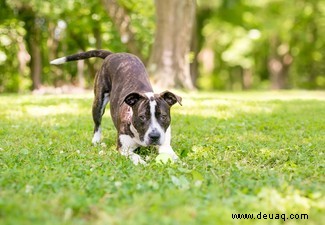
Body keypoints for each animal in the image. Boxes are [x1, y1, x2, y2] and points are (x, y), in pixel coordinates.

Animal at [52, 50, 181, 164]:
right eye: (142, 116)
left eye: (163, 116)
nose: (154, 136)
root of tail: (114, 54)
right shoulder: (124, 149)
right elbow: (134, 155)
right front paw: (141, 162)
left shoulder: (165, 145)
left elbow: (171, 154)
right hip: (98, 103)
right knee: (97, 124)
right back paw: (96, 140)